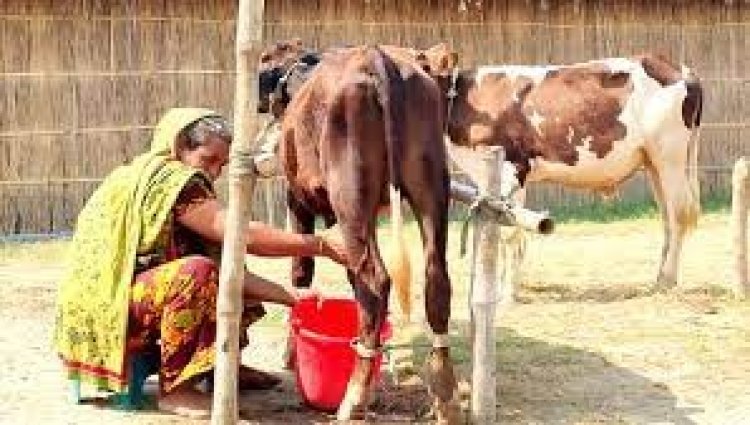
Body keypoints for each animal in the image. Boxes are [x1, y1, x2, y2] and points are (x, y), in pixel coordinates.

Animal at [264, 44, 464, 422]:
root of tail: (378, 58)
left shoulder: (297, 199)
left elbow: (301, 272)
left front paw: (289, 352)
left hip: (351, 198)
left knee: (374, 279)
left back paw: (354, 398)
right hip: (431, 188)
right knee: (435, 279)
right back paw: (445, 396)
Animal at [420, 45, 704, 292]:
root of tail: (676, 67)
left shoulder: (513, 168)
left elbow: (511, 229)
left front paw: (508, 293)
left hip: (670, 158)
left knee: (679, 214)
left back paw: (666, 279)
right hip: (654, 163)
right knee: (667, 217)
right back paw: (659, 277)